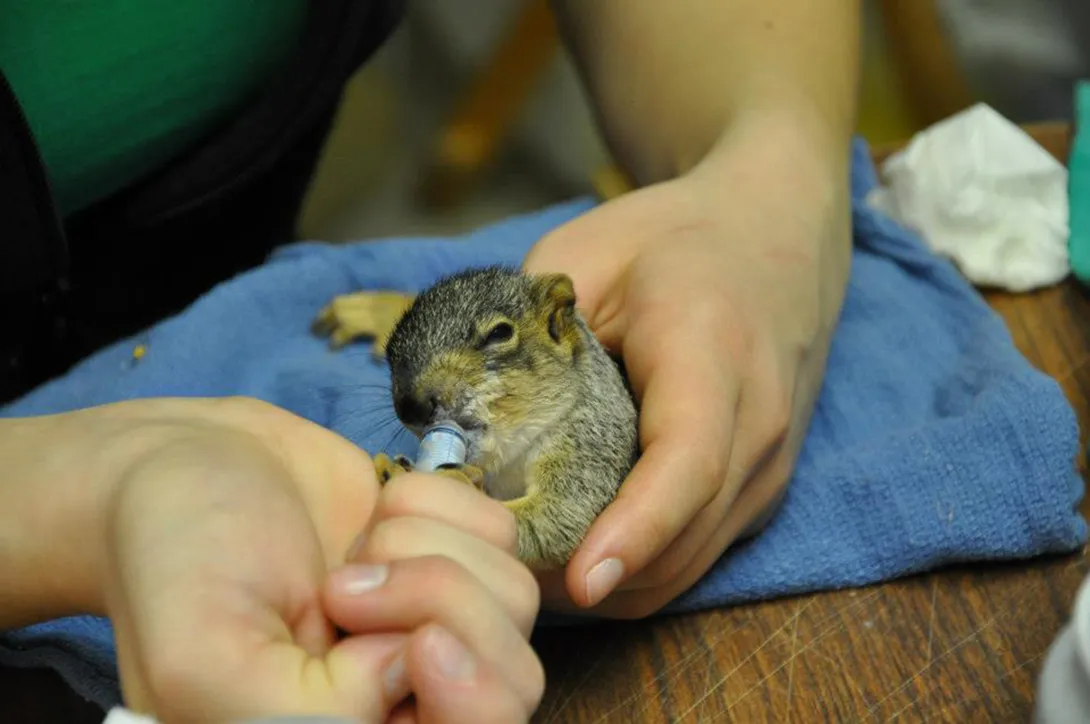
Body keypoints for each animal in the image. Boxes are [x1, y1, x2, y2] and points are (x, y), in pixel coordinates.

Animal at [312, 265, 639, 570]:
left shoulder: (592, 443)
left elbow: (557, 521)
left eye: (500, 333)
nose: (410, 407)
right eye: (390, 351)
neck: (509, 457)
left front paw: (456, 484)